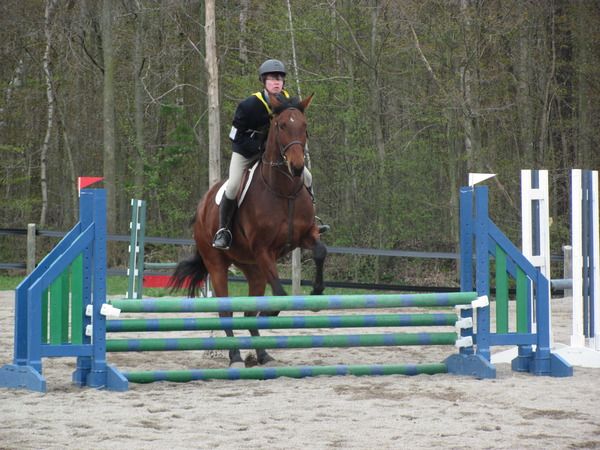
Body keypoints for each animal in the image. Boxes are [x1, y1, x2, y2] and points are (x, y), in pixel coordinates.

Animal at [169, 94, 327, 367]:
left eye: (304, 126)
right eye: (281, 126)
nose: (297, 167)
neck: (284, 190)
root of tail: (202, 206)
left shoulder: (305, 236)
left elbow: (320, 252)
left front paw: (317, 293)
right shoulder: (264, 250)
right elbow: (280, 294)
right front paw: (269, 313)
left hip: (252, 267)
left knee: (248, 309)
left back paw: (263, 355)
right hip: (218, 264)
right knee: (227, 311)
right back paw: (235, 357)